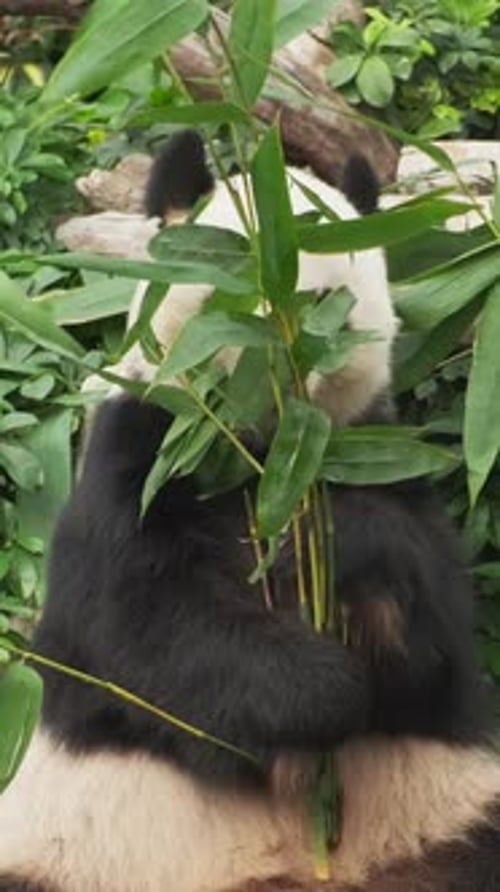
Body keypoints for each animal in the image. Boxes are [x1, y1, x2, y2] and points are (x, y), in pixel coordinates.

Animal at [0, 130, 500, 892]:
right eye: (244, 290)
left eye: (329, 298)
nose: (291, 366)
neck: (262, 458)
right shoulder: (143, 451)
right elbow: (145, 627)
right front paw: (328, 688)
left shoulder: (376, 451)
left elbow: (433, 635)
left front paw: (338, 546)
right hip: (71, 852)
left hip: (450, 808)